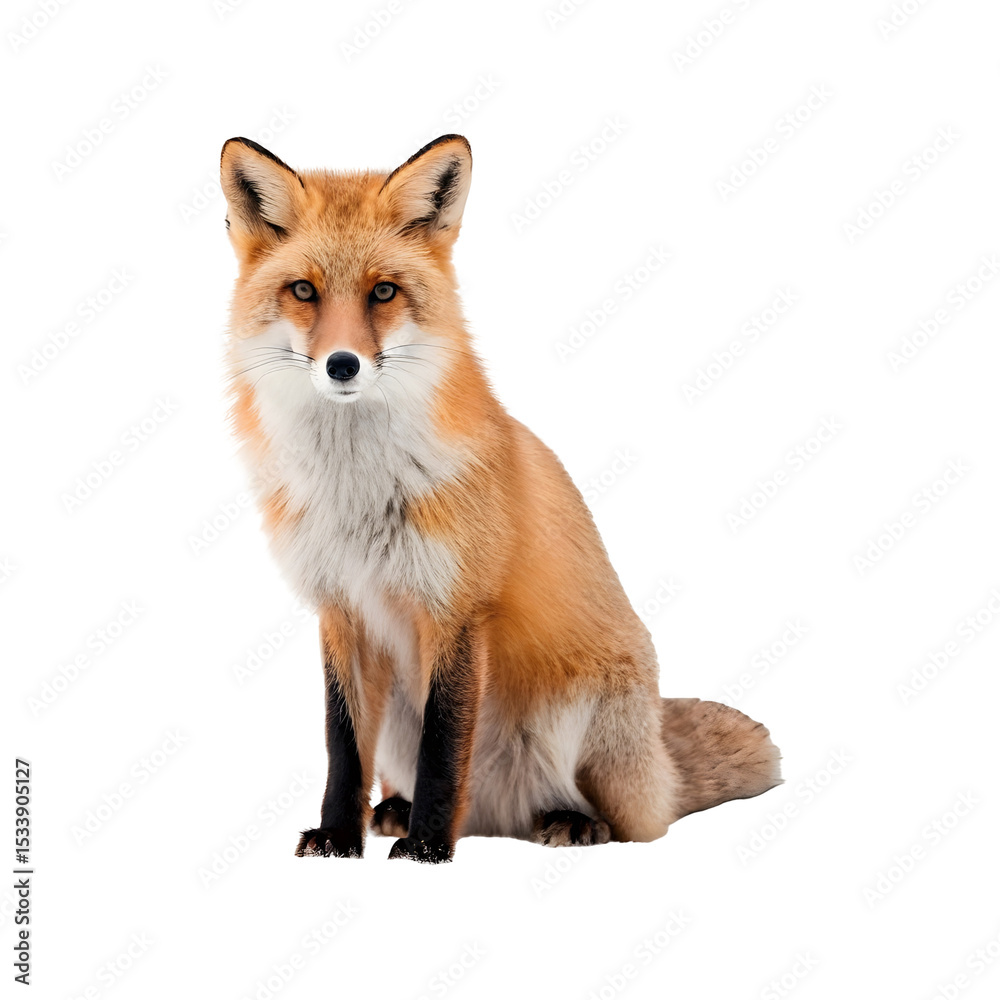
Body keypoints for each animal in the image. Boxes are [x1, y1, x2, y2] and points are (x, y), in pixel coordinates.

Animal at [219, 133, 782, 863]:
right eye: (304, 291)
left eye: (384, 291)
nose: (342, 364)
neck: (358, 491)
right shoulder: (339, 608)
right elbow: (343, 749)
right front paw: (341, 837)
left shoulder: (459, 609)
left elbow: (444, 745)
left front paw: (430, 850)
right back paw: (397, 812)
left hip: (579, 720)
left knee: (636, 826)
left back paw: (570, 823)